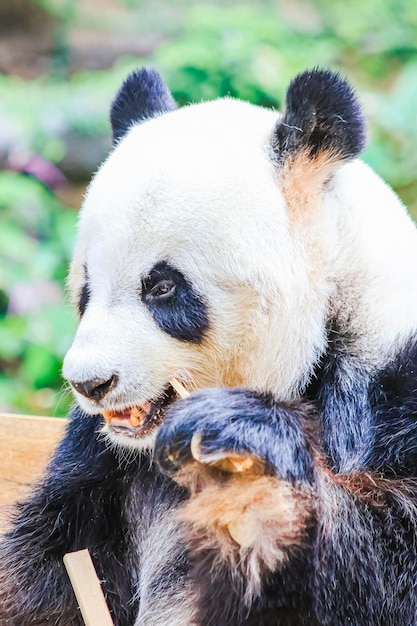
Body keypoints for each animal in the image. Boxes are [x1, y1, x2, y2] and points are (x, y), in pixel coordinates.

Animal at [0, 68, 416, 624]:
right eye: (86, 287)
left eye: (162, 286)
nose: (90, 383)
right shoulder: (100, 466)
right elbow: (48, 564)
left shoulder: (392, 383)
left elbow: (392, 556)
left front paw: (246, 443)